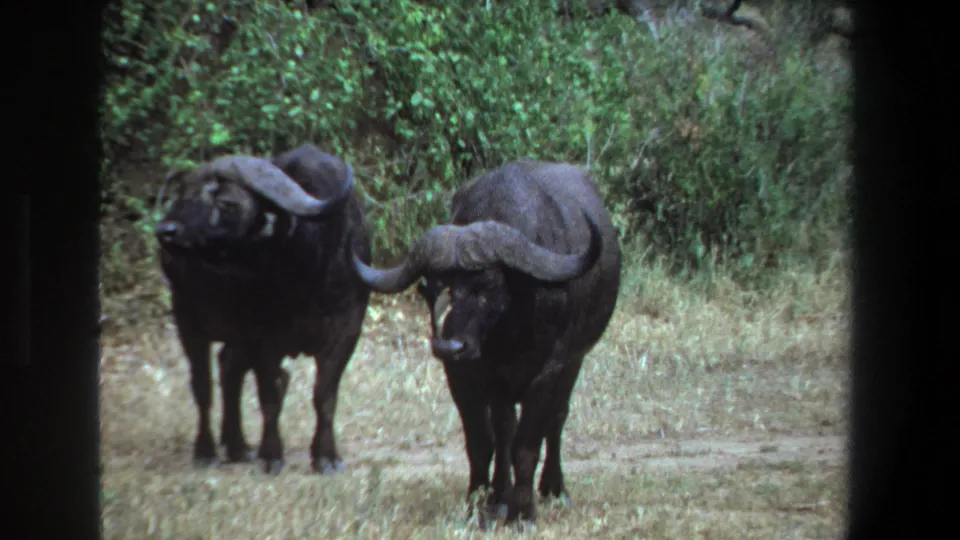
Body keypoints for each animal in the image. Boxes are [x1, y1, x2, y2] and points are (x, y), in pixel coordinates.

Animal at [154, 144, 371, 475]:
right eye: (182, 195)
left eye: (226, 201)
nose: (166, 230)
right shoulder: (264, 335)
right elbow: (270, 394)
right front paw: (272, 455)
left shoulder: (347, 328)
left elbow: (325, 395)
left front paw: (326, 456)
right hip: (187, 318)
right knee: (203, 386)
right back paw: (206, 450)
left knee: (229, 368)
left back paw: (237, 445)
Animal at [349, 159, 622, 524]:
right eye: (433, 286)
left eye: (487, 285)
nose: (449, 347)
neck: (508, 336)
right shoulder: (465, 376)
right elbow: (483, 441)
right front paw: (479, 505)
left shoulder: (550, 371)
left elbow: (527, 443)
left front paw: (524, 513)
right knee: (504, 431)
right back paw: (499, 497)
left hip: (575, 361)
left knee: (557, 419)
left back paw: (554, 489)